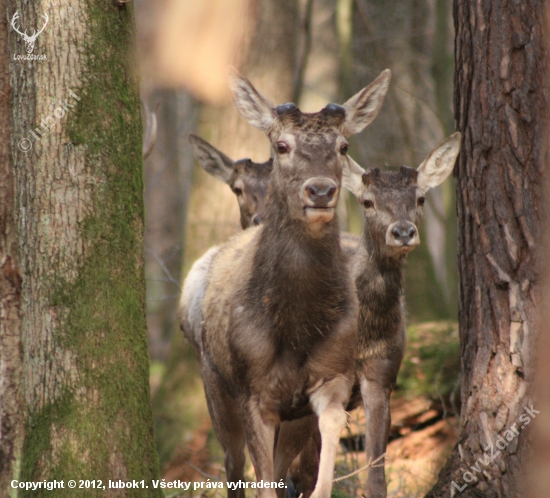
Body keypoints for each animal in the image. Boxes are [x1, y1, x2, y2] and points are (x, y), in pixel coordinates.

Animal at [183, 67, 394, 498]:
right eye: (281, 145)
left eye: (344, 146)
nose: (321, 190)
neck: (296, 329)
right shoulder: (252, 391)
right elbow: (261, 481)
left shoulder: (332, 378)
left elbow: (317, 473)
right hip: (213, 382)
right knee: (233, 466)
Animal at [274, 132, 462, 498]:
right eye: (367, 202)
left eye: (420, 198)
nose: (402, 232)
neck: (363, 339)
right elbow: (308, 470)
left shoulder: (382, 375)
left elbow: (376, 475)